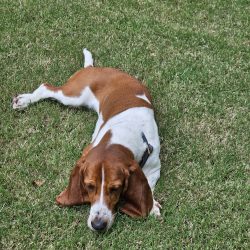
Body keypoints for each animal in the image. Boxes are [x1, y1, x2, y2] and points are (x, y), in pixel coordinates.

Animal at [13, 48, 162, 230]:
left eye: (115, 188)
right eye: (89, 186)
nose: (98, 225)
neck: (122, 137)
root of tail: (93, 68)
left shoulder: (154, 167)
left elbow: (149, 184)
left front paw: (152, 204)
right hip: (73, 96)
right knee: (45, 87)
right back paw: (24, 100)